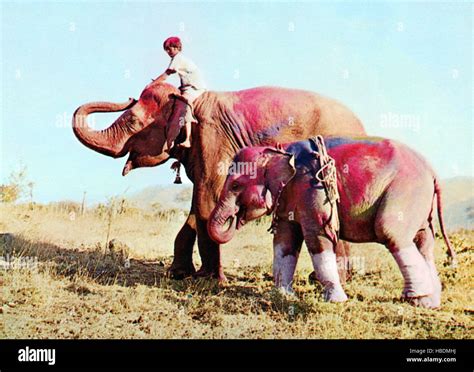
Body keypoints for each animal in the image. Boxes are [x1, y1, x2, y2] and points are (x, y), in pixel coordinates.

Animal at [72, 83, 364, 280]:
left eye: (133, 122)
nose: (128, 97)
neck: (189, 99)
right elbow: (197, 204)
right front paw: (180, 274)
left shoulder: (212, 140)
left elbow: (206, 198)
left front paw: (211, 279)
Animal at [208, 137, 456, 308]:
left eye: (236, 186)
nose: (233, 218)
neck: (280, 149)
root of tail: (433, 171)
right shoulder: (289, 197)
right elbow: (285, 240)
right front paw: (282, 296)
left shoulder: (312, 188)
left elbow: (317, 235)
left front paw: (336, 301)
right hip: (421, 206)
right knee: (424, 243)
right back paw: (430, 302)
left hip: (405, 191)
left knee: (391, 231)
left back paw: (415, 297)